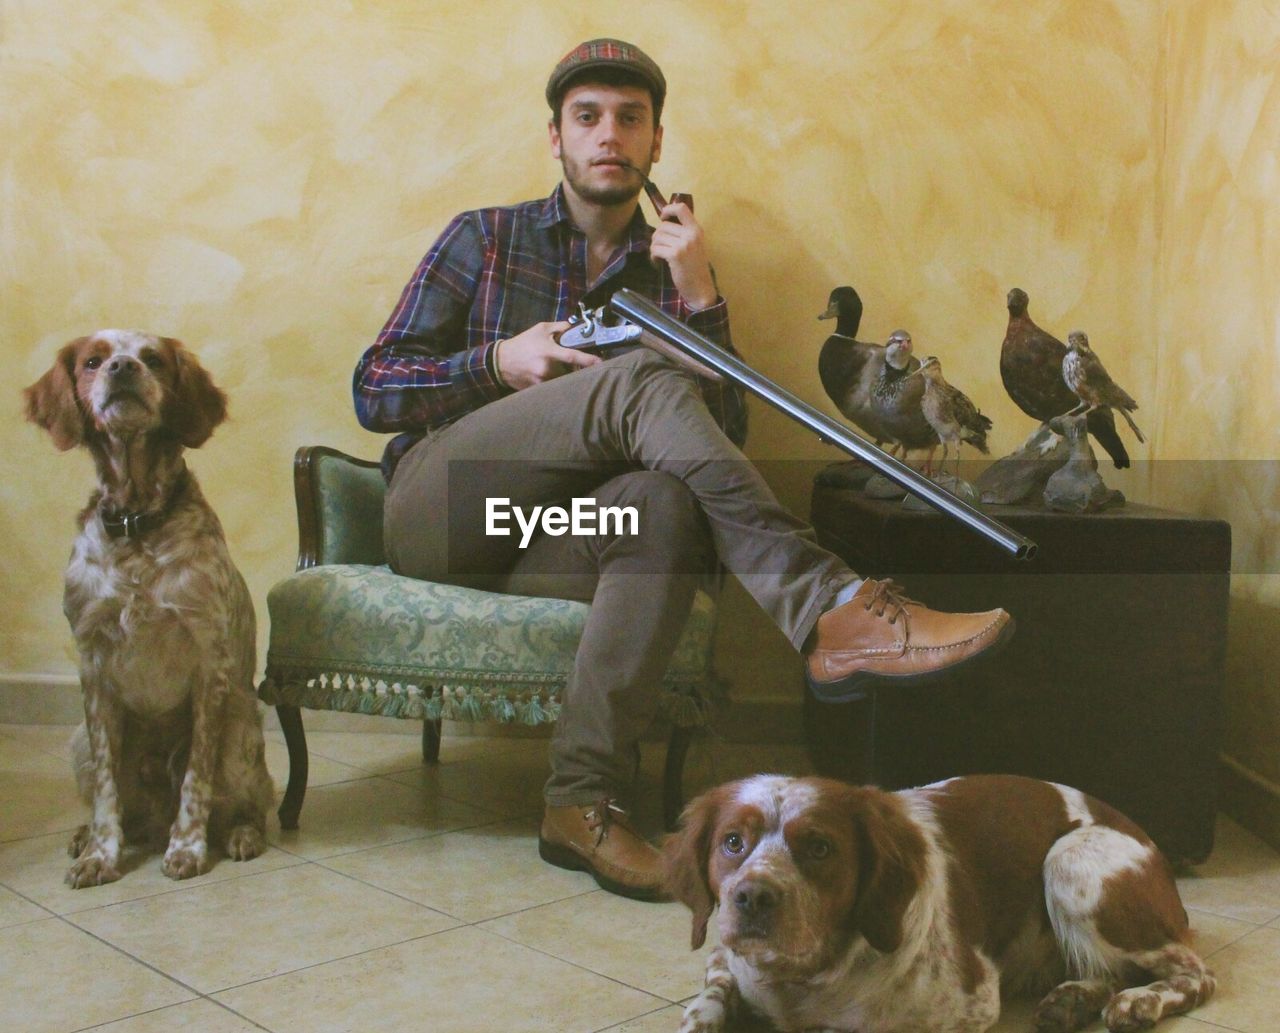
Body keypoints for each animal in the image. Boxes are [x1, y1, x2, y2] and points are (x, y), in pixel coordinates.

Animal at [23, 332, 272, 890]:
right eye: (91, 361)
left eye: (154, 359)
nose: (122, 368)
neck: (136, 524)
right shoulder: (92, 666)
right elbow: (107, 791)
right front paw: (100, 854)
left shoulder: (209, 664)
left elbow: (197, 778)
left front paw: (188, 848)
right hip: (77, 742)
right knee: (120, 805)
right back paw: (85, 836)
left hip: (243, 723)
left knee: (249, 803)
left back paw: (240, 835)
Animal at [665, 778, 1213, 1033]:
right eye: (732, 842)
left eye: (820, 848)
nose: (752, 897)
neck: (803, 978)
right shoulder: (725, 955)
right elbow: (710, 993)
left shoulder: (970, 1003)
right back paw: (1072, 998)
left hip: (1069, 861)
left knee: (1197, 973)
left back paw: (1140, 1001)